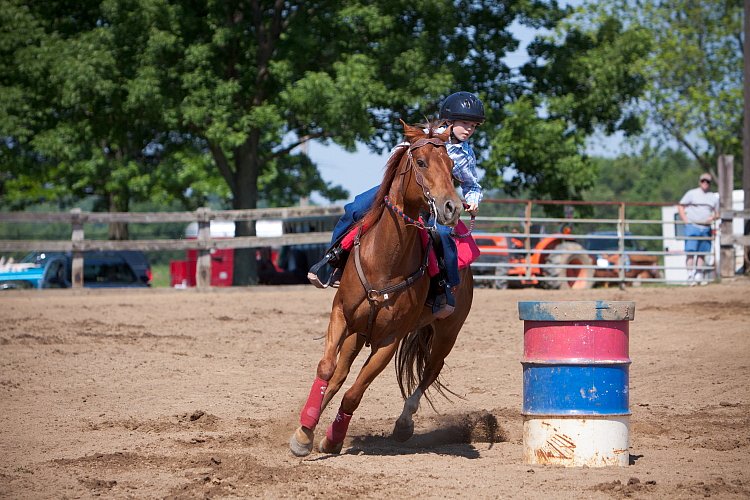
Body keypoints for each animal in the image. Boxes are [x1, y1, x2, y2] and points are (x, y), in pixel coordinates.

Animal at [290, 121, 476, 458]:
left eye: (452, 167)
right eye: (421, 162)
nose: (452, 207)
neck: (385, 262)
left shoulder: (389, 342)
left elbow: (355, 393)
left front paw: (333, 439)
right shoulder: (341, 315)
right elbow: (326, 369)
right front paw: (304, 433)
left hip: (447, 334)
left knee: (430, 371)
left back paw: (404, 424)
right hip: (357, 332)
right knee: (339, 375)